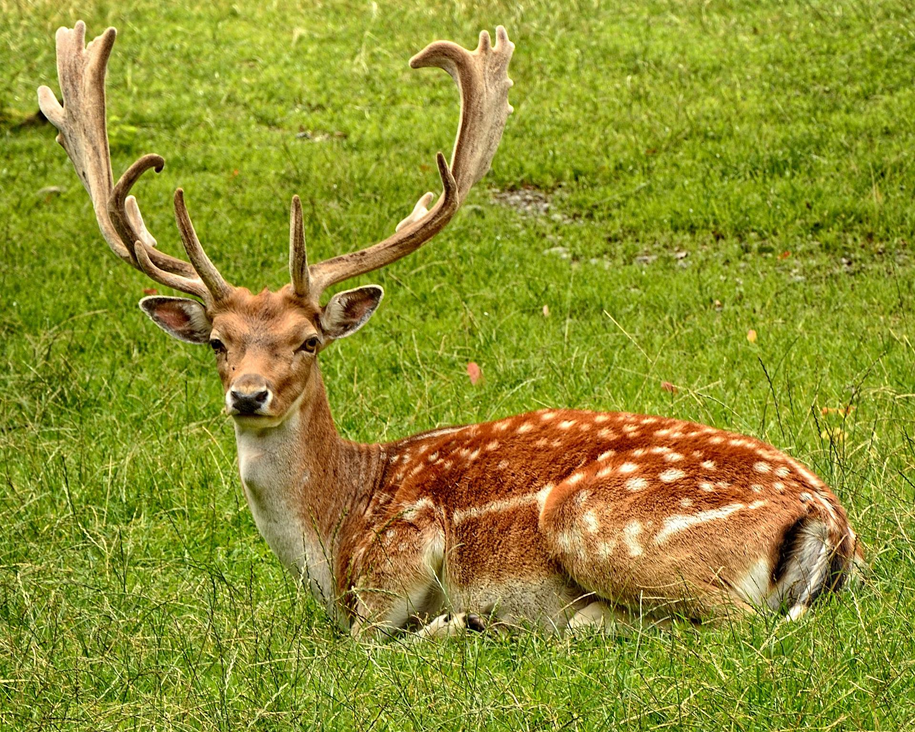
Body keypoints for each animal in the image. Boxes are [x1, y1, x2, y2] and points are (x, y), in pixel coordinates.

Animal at [39, 21, 862, 639]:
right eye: (219, 341)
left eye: (309, 340)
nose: (248, 395)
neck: (334, 533)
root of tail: (828, 521)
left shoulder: (399, 554)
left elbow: (364, 642)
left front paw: (453, 623)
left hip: (597, 522)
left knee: (730, 622)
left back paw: (537, 623)